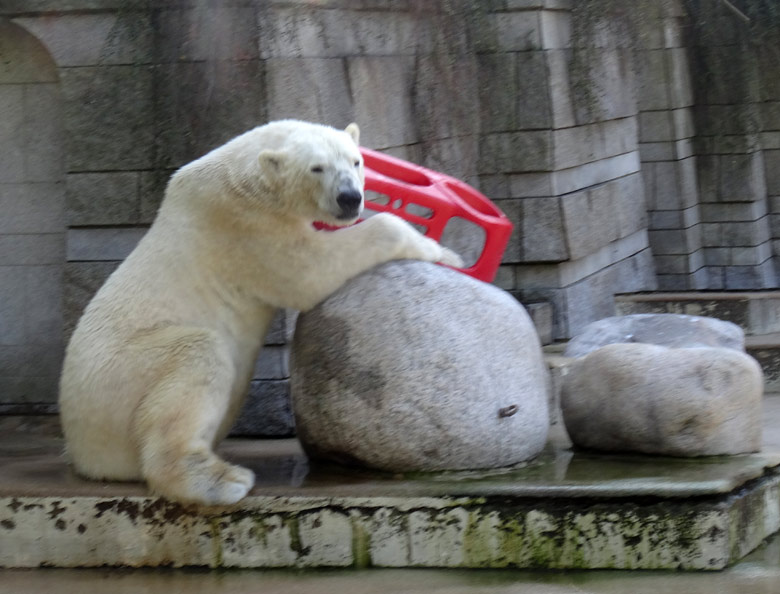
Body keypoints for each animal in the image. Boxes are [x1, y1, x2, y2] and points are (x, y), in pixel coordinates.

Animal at [61, 120, 464, 504]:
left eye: (356, 161)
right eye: (317, 167)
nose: (349, 198)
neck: (246, 172)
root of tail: (81, 447)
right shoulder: (246, 225)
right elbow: (310, 268)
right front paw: (442, 252)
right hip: (120, 378)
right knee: (196, 357)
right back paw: (220, 480)